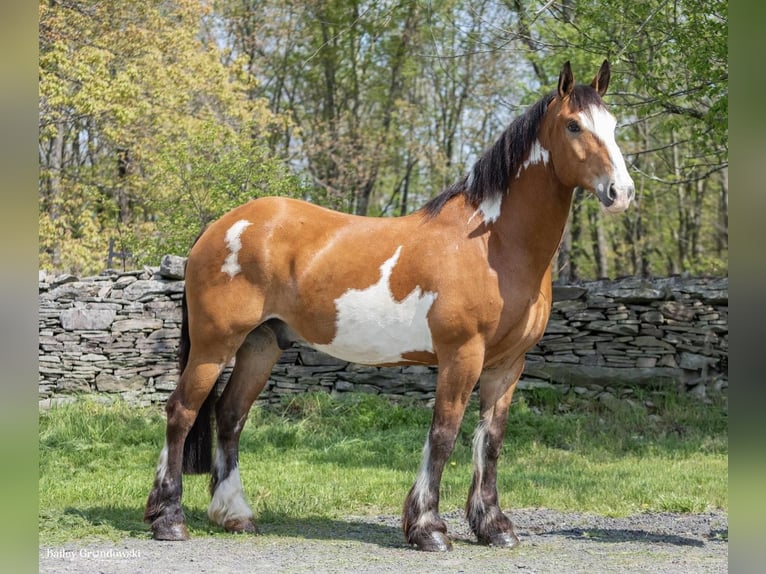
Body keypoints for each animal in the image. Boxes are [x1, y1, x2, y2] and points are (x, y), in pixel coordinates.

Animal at [144, 59, 636, 552]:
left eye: (613, 125)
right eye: (573, 125)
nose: (622, 193)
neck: (493, 246)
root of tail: (219, 226)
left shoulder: (508, 364)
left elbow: (490, 441)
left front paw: (494, 526)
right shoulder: (461, 355)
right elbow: (444, 434)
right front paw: (429, 528)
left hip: (260, 345)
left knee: (230, 416)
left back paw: (235, 515)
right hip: (215, 345)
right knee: (181, 412)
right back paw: (168, 520)